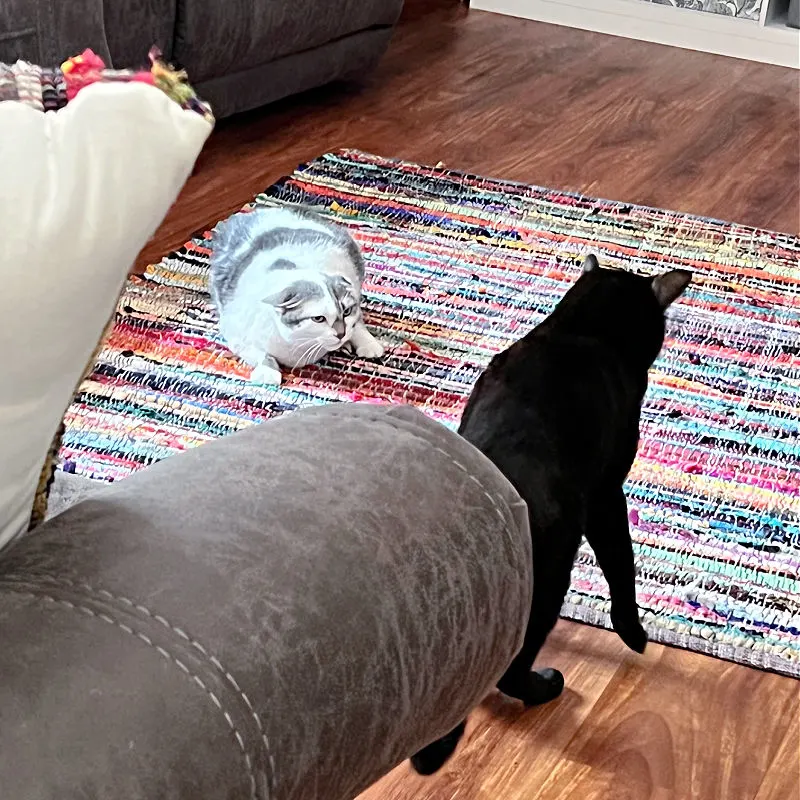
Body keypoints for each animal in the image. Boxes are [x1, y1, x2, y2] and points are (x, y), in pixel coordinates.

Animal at [209, 205, 384, 382]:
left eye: (346, 312)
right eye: (318, 318)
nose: (341, 333)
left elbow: (357, 321)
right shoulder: (236, 335)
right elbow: (262, 355)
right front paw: (268, 373)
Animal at [410, 256, 692, 776]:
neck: (580, 331)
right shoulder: (605, 495)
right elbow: (622, 566)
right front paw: (634, 633)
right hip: (549, 579)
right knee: (511, 670)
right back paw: (547, 686)